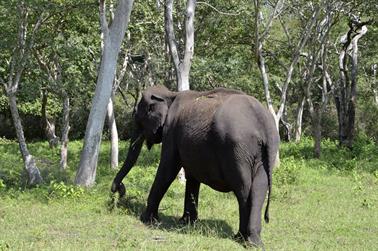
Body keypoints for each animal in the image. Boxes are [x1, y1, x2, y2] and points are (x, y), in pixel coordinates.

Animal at [110, 85, 280, 246]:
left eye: (138, 119)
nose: (119, 190)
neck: (170, 94)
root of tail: (264, 124)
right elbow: (192, 176)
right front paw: (186, 222)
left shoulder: (171, 130)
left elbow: (168, 168)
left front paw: (146, 220)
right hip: (264, 154)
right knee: (259, 188)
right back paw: (253, 241)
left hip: (237, 149)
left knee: (243, 190)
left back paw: (243, 239)